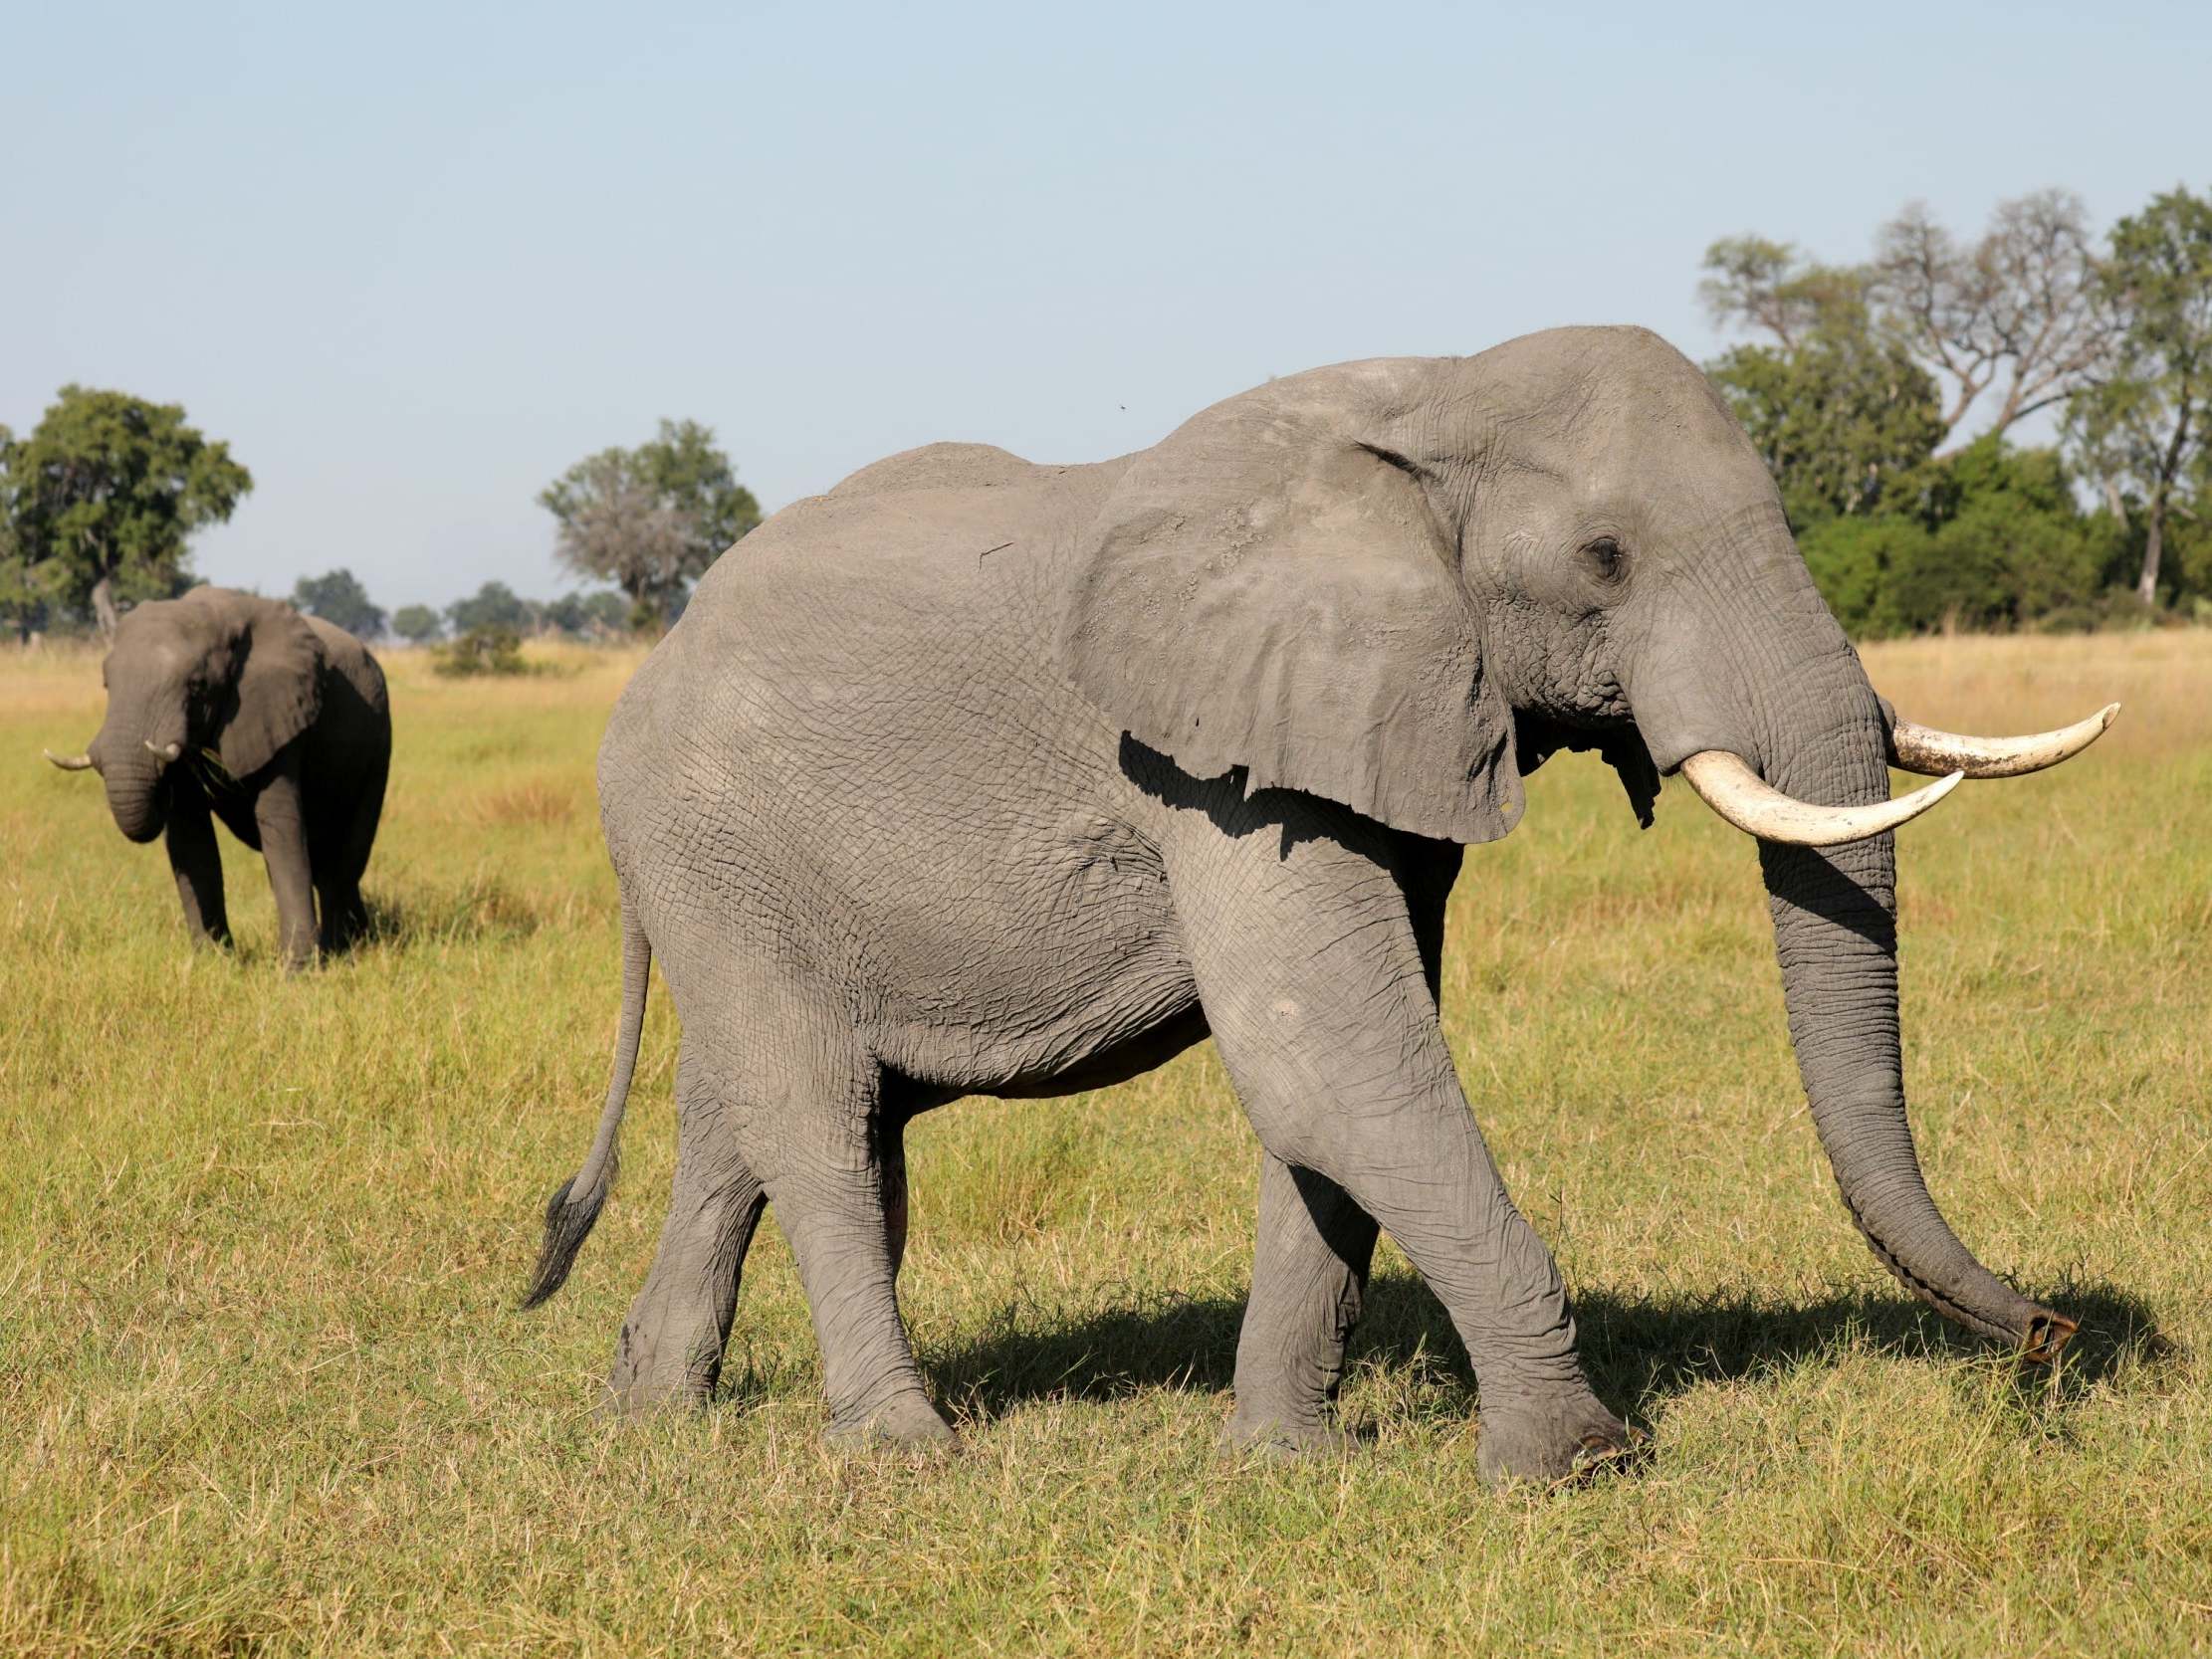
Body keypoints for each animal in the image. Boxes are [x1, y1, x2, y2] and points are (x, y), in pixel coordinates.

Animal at [43, 588, 391, 968]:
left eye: (197, 686)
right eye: (106, 683)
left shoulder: (279, 711)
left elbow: (282, 830)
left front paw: (298, 971)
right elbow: (191, 839)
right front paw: (212, 964)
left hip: (379, 745)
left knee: (343, 860)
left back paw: (345, 949)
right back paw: (357, 940)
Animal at [513, 320, 2105, 1477]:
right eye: (1602, 559)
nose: (2052, 1333)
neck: (1435, 395)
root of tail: (655, 652)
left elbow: (1342, 1082)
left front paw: (1278, 1464)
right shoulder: (1208, 760)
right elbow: (1328, 1054)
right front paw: (1574, 1465)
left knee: (751, 1115)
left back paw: (648, 1414)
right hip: (706, 839)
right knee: (816, 1116)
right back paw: (904, 1452)